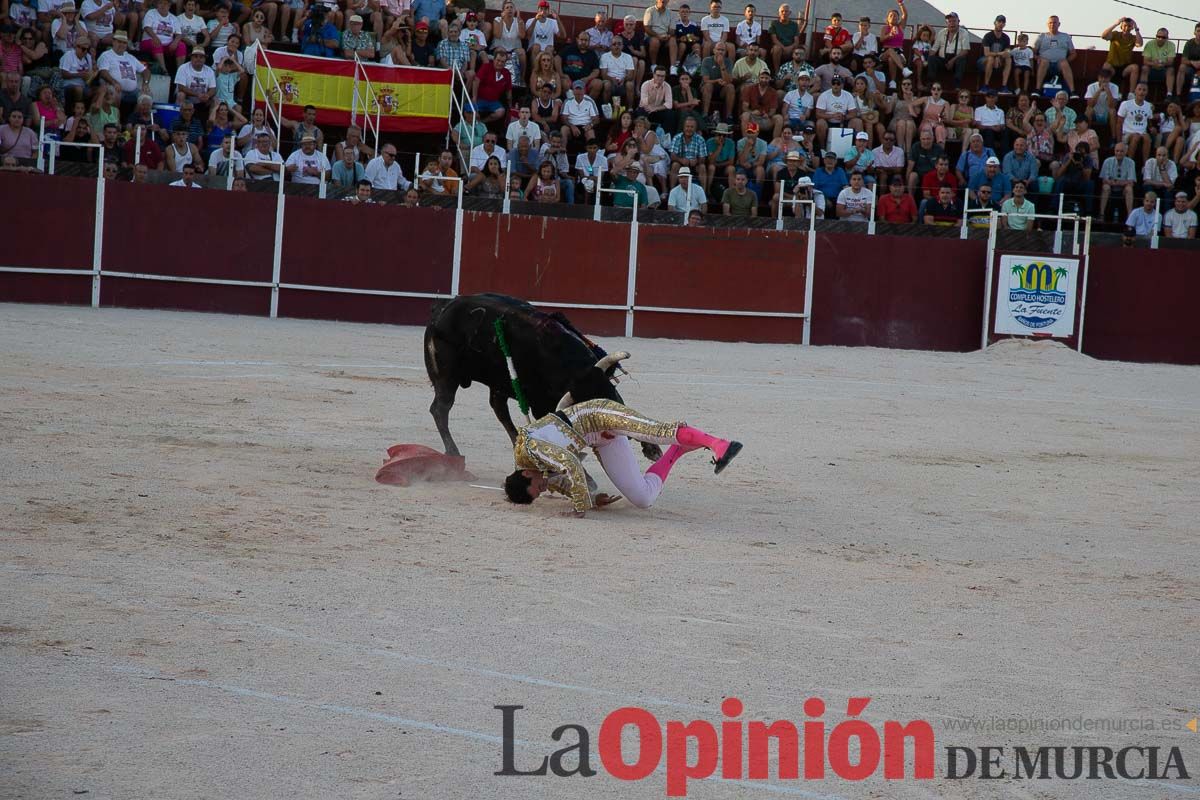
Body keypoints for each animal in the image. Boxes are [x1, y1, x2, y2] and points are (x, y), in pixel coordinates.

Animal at [424, 292, 667, 460]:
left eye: (610, 400)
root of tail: (441, 309)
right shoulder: (541, 405)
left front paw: (652, 448)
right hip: (446, 377)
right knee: (440, 409)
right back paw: (453, 452)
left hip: (497, 381)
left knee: (498, 408)